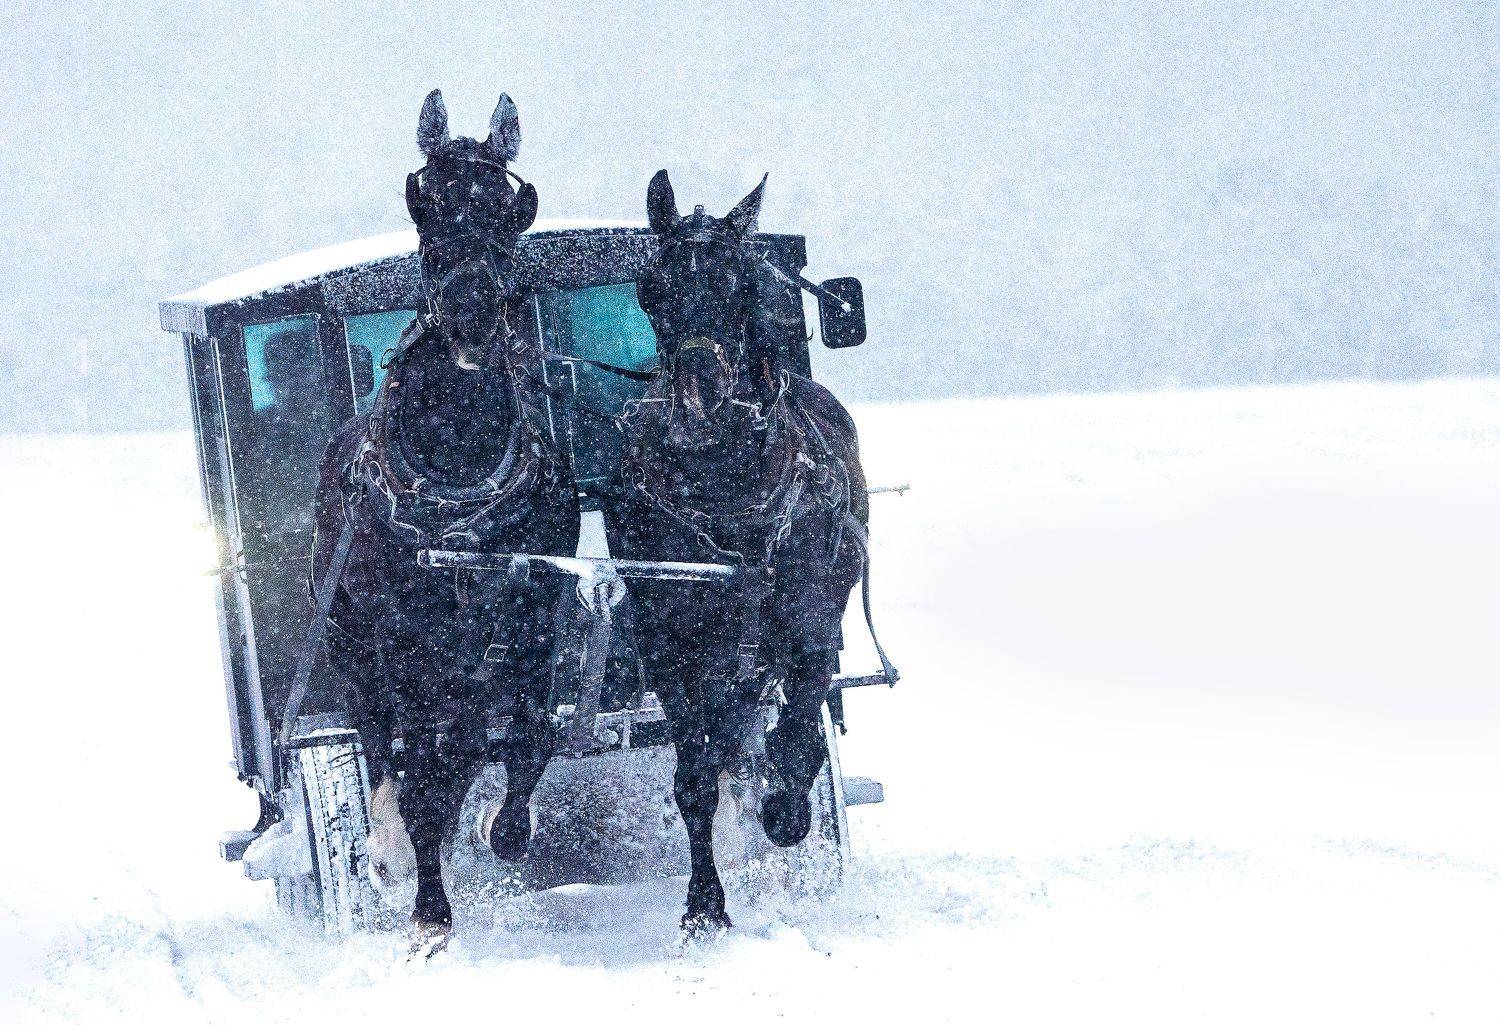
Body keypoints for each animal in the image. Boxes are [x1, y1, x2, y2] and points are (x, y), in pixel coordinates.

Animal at [308, 90, 579, 951]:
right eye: (426, 206)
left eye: (507, 210)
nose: (467, 311)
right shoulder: (411, 657)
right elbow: (418, 782)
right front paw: (426, 905)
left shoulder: (524, 637)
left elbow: (526, 740)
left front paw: (502, 822)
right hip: (353, 649)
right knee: (382, 744)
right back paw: (388, 850)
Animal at [601, 170, 869, 936]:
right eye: (650, 286)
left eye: (742, 281)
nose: (700, 398)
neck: (729, 489)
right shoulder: (672, 646)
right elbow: (695, 775)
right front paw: (704, 905)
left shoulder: (813, 630)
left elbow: (799, 738)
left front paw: (784, 810)